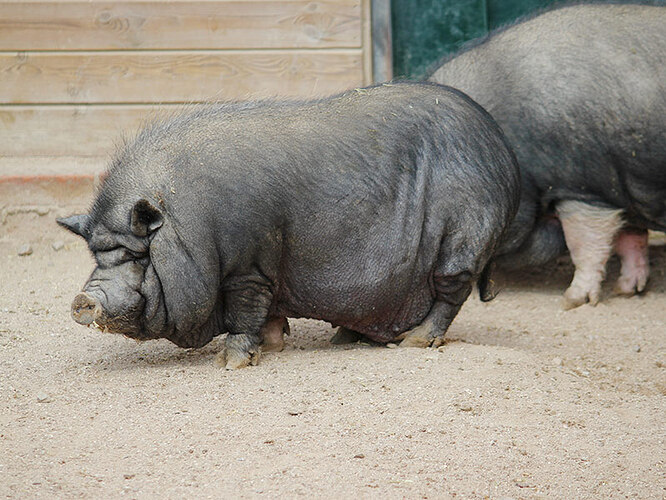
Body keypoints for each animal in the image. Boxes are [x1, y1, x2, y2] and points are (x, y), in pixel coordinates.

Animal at [58, 82, 520, 368]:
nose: (83, 299)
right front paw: (275, 343)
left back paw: (415, 341)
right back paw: (343, 338)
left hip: (461, 242)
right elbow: (268, 314)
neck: (193, 231)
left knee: (450, 296)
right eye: (96, 255)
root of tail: (502, 151)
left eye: (137, 257)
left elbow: (245, 314)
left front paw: (231, 363)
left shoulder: (247, 266)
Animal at [429, 2, 666, 309]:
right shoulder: (620, 191)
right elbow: (629, 240)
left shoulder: (582, 188)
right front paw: (626, 291)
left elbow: (586, 244)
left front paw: (572, 301)